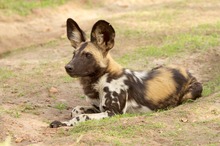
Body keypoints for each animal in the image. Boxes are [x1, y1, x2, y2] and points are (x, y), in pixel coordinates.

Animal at [49, 18, 203, 128]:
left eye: (87, 55)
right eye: (74, 54)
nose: (68, 67)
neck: (100, 79)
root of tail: (186, 70)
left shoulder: (113, 113)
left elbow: (80, 116)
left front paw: (62, 123)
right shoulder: (99, 108)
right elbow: (76, 110)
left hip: (190, 94)